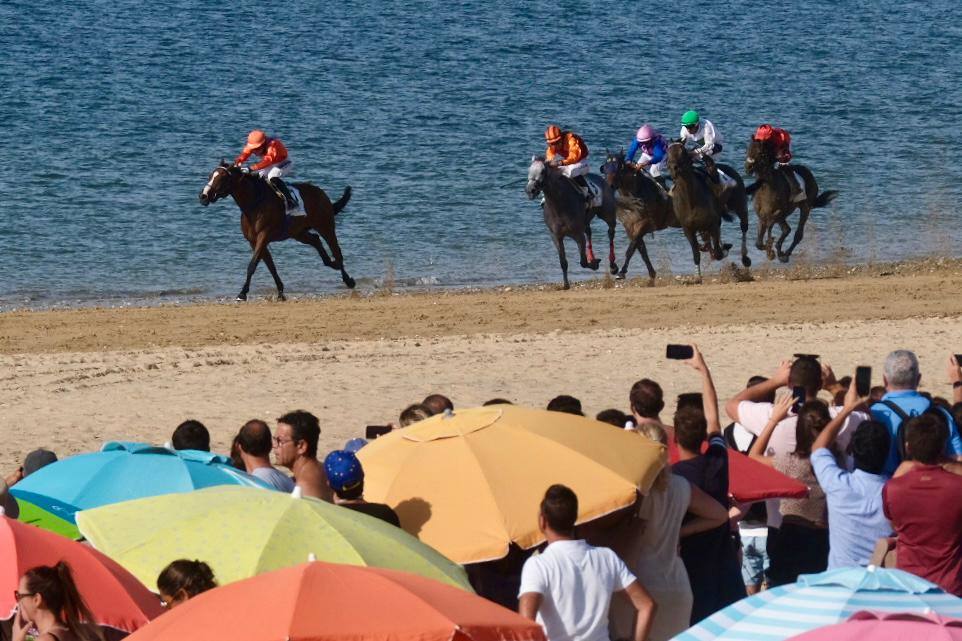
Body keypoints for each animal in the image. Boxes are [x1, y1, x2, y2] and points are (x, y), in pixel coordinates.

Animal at [199, 160, 352, 300]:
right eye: (210, 176)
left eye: (222, 178)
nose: (203, 196)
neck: (254, 203)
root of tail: (321, 192)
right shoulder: (254, 241)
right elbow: (270, 266)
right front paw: (280, 292)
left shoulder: (264, 236)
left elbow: (253, 264)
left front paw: (242, 293)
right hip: (298, 232)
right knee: (315, 240)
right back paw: (331, 263)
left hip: (325, 226)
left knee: (336, 250)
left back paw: (348, 279)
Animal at [528, 158, 620, 290]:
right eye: (529, 170)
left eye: (543, 172)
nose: (530, 190)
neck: (559, 205)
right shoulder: (556, 236)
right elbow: (563, 262)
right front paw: (566, 284)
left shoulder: (578, 235)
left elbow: (583, 262)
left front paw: (594, 264)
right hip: (586, 221)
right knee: (589, 232)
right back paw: (593, 257)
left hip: (608, 214)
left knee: (611, 233)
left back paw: (613, 265)